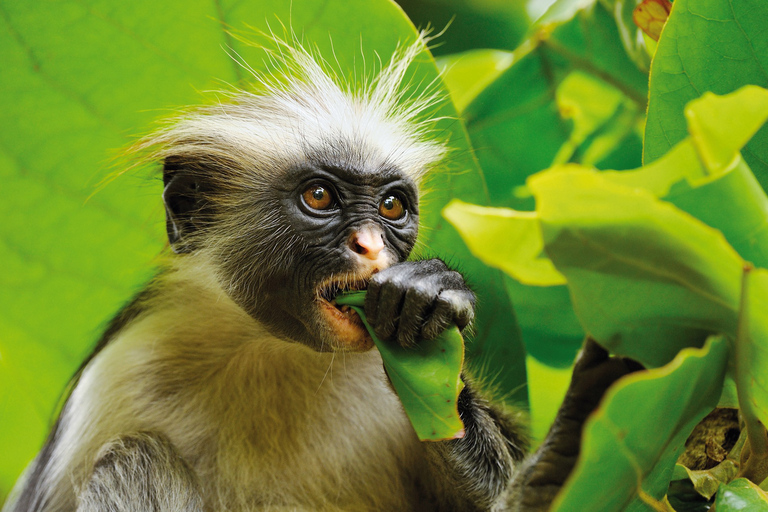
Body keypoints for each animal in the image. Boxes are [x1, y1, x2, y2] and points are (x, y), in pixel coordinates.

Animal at [1, 34, 636, 510]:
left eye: (391, 207)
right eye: (320, 196)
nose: (371, 247)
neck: (273, 348)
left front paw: (428, 299)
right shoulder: (116, 375)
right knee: (134, 458)